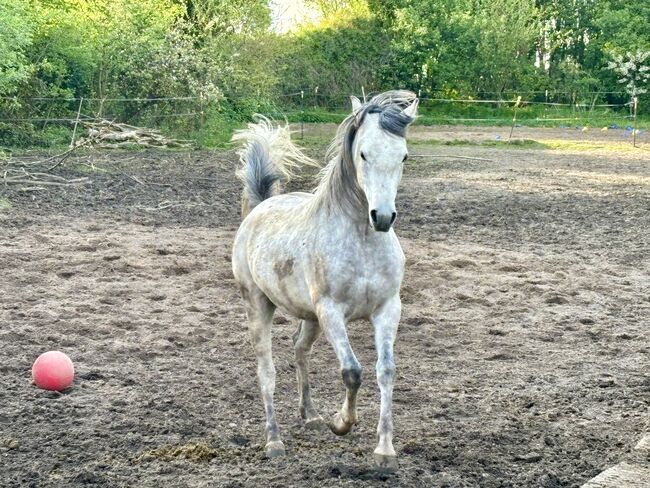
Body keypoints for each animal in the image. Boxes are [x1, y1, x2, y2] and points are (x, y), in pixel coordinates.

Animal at [230, 89, 418, 470]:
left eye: (403, 155)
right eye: (363, 153)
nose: (383, 217)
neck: (362, 240)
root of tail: (259, 208)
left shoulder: (388, 309)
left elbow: (386, 371)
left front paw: (385, 450)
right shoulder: (332, 312)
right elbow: (352, 372)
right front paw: (342, 422)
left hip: (310, 317)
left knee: (299, 349)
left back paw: (311, 415)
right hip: (259, 305)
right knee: (266, 373)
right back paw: (274, 442)